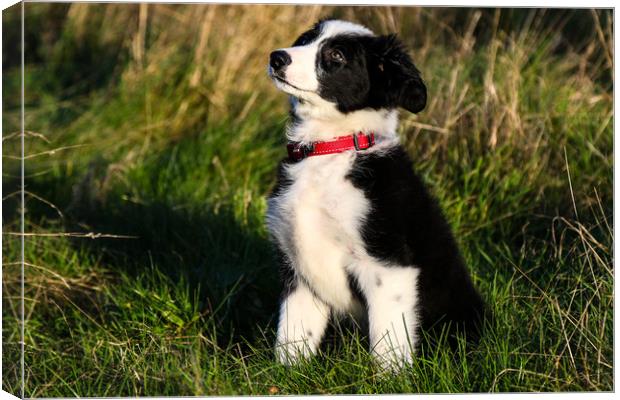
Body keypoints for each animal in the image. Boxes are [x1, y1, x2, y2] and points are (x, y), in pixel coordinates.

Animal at [264, 18, 486, 368]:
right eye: (304, 40)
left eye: (336, 56)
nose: (277, 58)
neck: (329, 149)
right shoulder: (298, 268)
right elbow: (293, 335)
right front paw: (286, 374)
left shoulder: (388, 265)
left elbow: (388, 341)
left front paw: (392, 377)